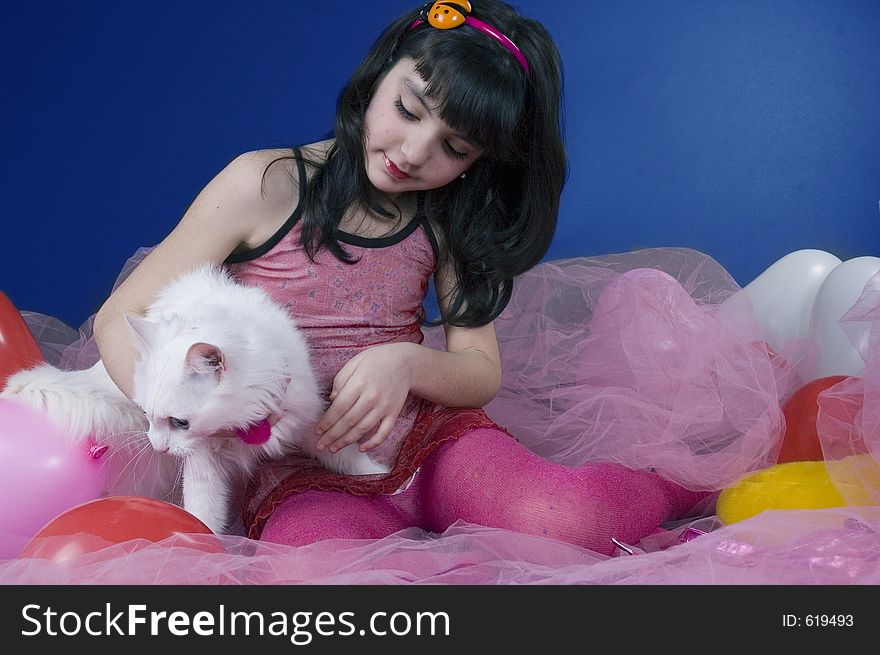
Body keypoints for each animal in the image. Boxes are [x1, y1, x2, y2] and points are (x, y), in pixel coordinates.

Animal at [2, 264, 388, 536]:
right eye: (147, 414)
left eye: (179, 422)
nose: (158, 446)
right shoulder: (203, 464)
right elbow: (203, 515)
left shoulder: (304, 416)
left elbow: (342, 452)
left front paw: (382, 477)